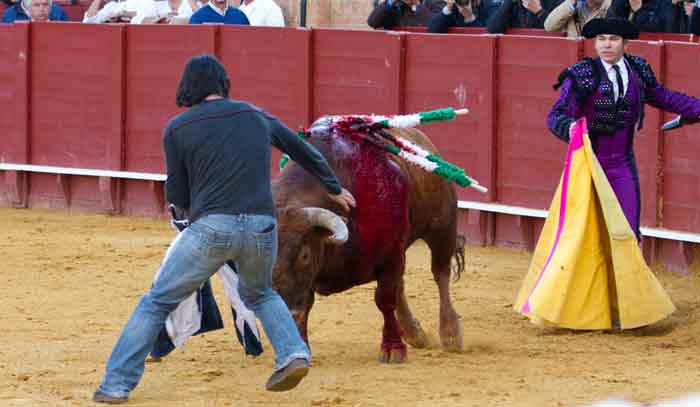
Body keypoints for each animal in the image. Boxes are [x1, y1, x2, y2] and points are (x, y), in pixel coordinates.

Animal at [272, 117, 464, 364]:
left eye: (304, 254)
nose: (283, 304)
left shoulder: (390, 256)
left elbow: (384, 299)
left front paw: (393, 349)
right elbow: (306, 304)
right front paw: (300, 350)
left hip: (442, 228)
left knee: (440, 275)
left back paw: (450, 334)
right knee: (402, 286)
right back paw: (414, 333)